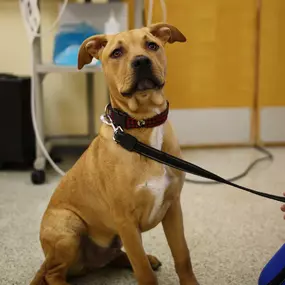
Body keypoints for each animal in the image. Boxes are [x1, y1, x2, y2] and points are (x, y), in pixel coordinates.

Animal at [29, 22, 197, 284]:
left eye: (152, 45)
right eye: (117, 53)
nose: (141, 61)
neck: (142, 125)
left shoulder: (172, 208)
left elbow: (182, 255)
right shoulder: (126, 221)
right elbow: (143, 272)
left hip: (110, 239)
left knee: (114, 256)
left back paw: (147, 258)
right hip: (69, 228)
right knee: (53, 273)